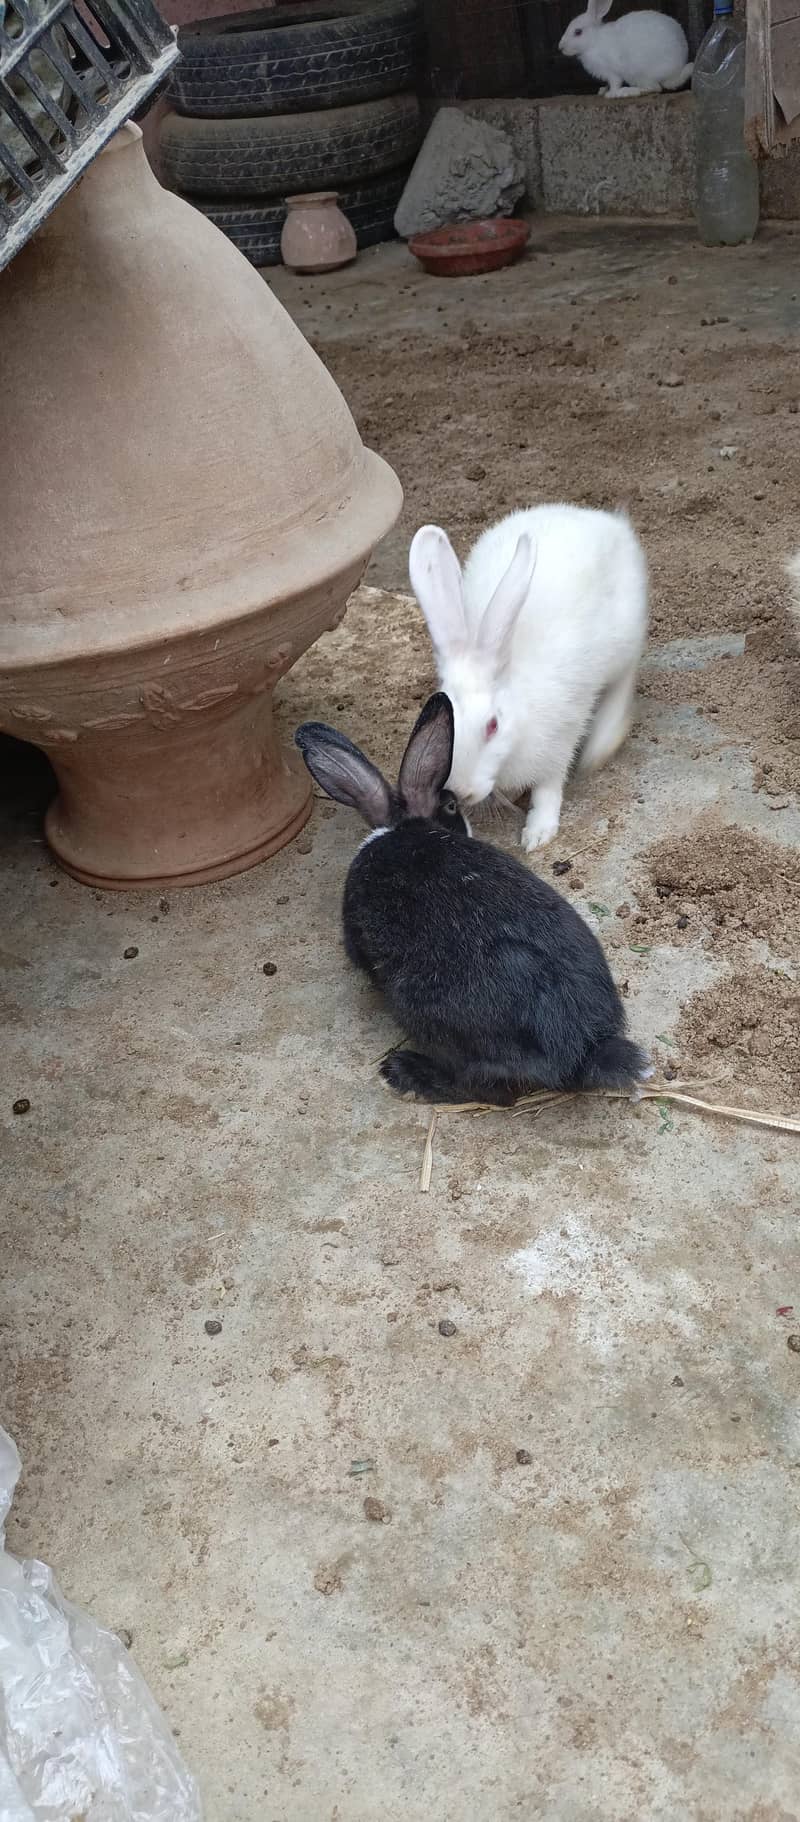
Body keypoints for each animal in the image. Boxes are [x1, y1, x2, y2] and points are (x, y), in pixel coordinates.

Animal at [409, 505, 648, 853]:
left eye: (493, 726)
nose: (463, 791)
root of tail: (605, 521)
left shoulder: (559, 742)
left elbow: (548, 788)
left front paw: (538, 833)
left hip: (623, 642)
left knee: (623, 680)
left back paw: (602, 746)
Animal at [558, 0, 692, 97]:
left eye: (578, 32)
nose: (560, 47)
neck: (594, 41)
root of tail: (673, 74)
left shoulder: (611, 71)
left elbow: (615, 82)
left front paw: (611, 94)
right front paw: (603, 90)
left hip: (640, 74)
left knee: (655, 88)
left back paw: (628, 92)